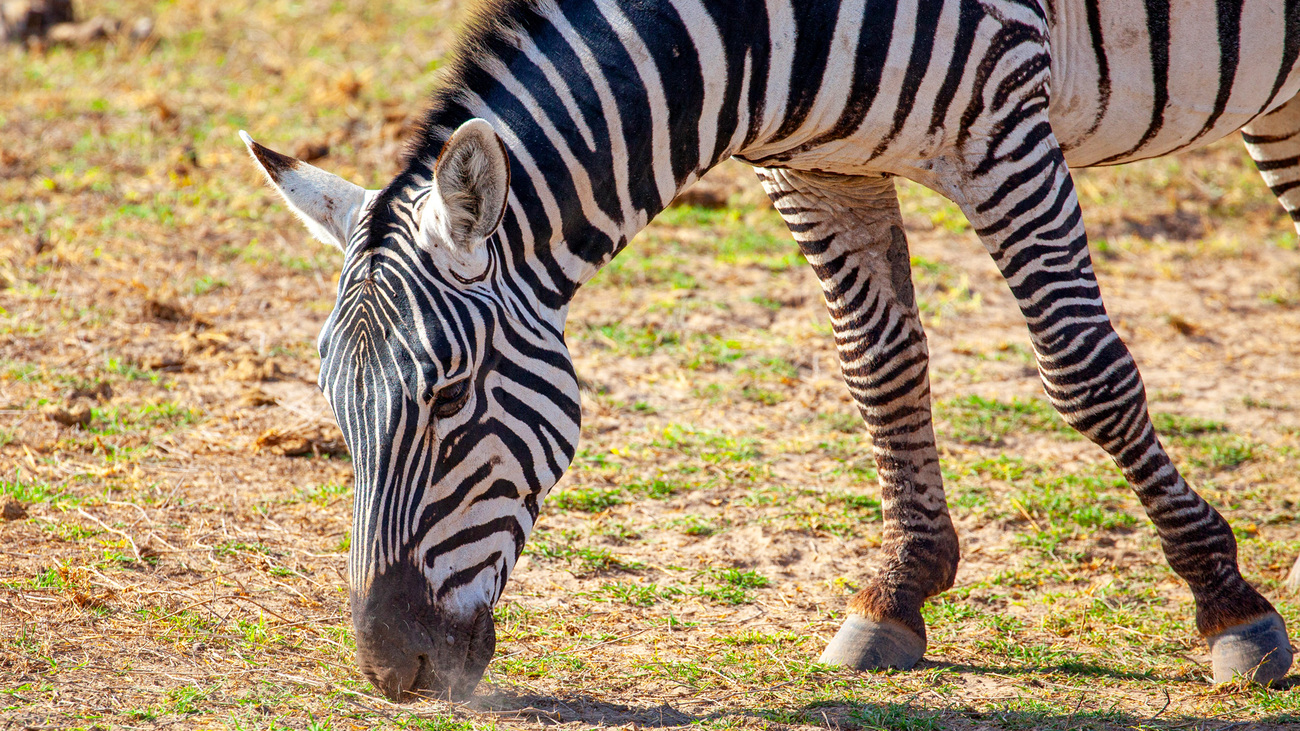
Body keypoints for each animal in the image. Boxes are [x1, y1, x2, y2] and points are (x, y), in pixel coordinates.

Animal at [239, 0, 1294, 702]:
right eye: (335, 409)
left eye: (451, 399)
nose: (391, 670)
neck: (761, 41)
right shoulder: (816, 167)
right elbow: (877, 366)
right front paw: (899, 590)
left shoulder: (1004, 124)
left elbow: (1085, 370)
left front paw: (1228, 602)